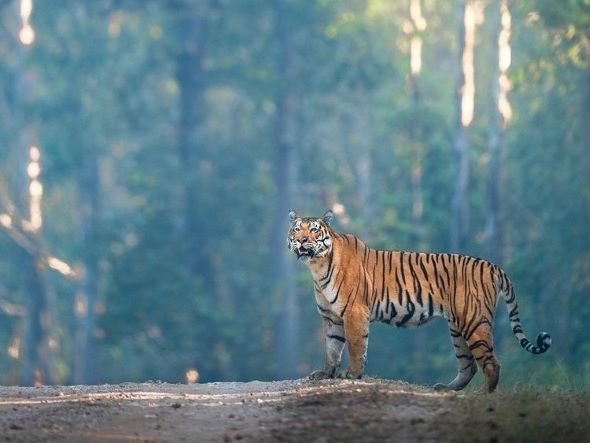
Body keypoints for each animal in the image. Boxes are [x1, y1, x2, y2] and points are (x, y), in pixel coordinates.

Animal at [290, 210, 552, 394]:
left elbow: (355, 345)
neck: (317, 266)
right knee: (468, 364)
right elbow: (332, 348)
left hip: (474, 321)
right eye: (296, 230)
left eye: (314, 230)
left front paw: (352, 375)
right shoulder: (331, 317)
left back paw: (485, 395)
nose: (301, 240)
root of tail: (493, 266)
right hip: (458, 327)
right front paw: (325, 373)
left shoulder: (354, 312)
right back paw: (448, 389)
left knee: (491, 362)